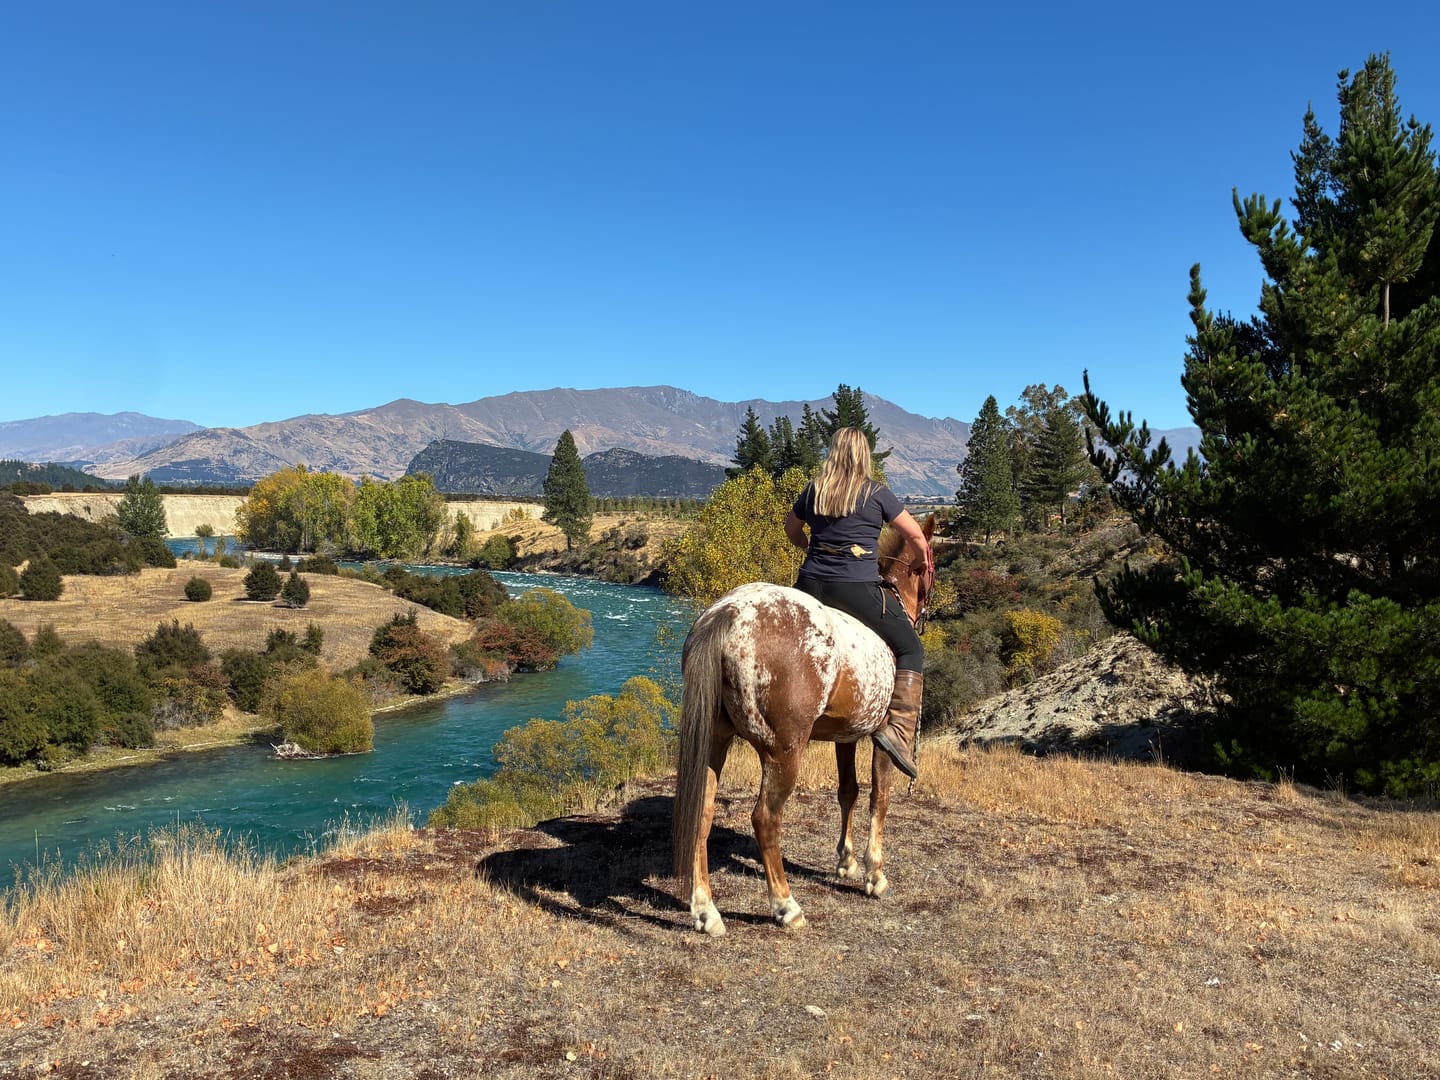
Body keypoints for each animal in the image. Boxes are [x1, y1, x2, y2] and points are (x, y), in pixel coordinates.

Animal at [671, 515, 936, 936]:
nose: (927, 611)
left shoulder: (846, 736)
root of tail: (728, 615)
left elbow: (848, 791)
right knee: (765, 818)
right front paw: (875, 875)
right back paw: (786, 906)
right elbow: (879, 797)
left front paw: (846, 861)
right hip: (783, 753)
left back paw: (705, 911)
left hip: (715, 741)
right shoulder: (881, 740)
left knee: (702, 812)